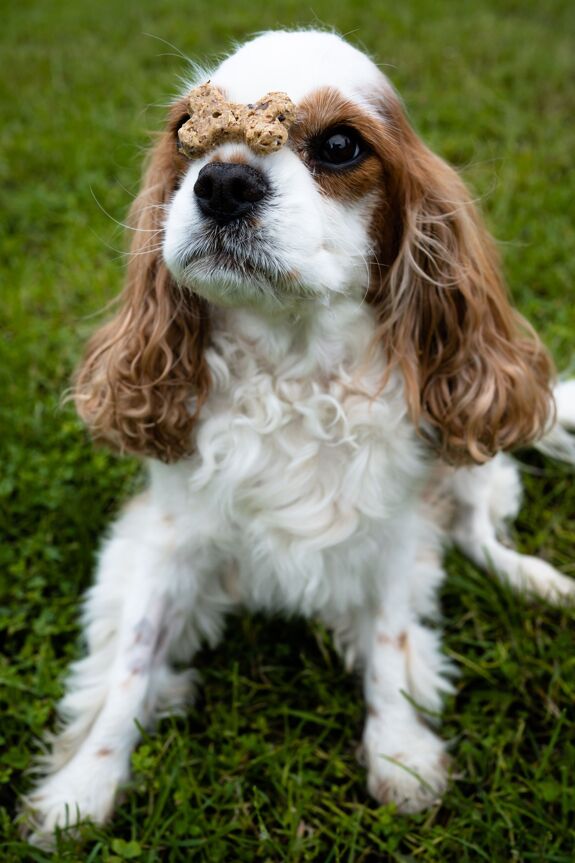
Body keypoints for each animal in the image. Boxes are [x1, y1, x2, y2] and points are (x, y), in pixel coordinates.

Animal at [23, 28, 575, 844]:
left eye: (341, 145)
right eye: (187, 133)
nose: (222, 182)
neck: (293, 361)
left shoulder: (393, 534)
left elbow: (391, 640)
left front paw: (399, 754)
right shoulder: (168, 536)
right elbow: (128, 665)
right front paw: (83, 787)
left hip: (477, 467)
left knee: (476, 536)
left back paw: (536, 580)